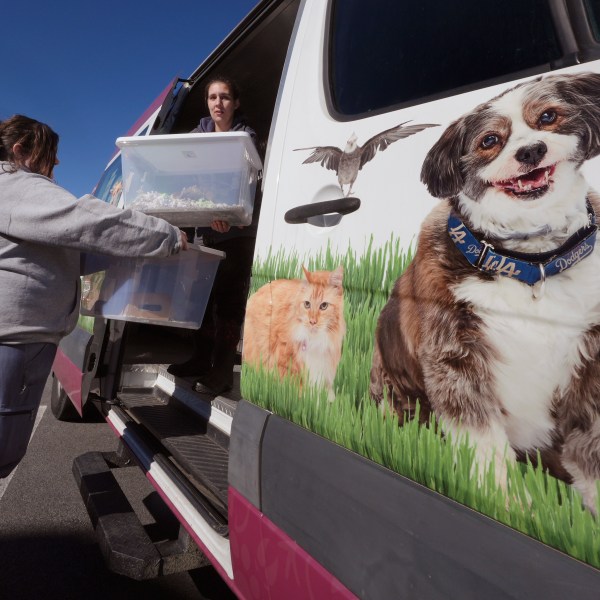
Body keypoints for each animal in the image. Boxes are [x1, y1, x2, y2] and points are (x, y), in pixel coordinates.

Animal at [244, 264, 346, 396]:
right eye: (307, 304)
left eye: (324, 306)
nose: (312, 322)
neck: (314, 341)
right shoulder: (283, 365)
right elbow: (300, 392)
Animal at [370, 71, 600, 510]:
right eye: (489, 140)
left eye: (549, 116)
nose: (531, 151)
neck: (529, 262)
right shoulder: (453, 355)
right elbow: (482, 440)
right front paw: (506, 499)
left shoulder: (590, 359)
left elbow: (590, 444)